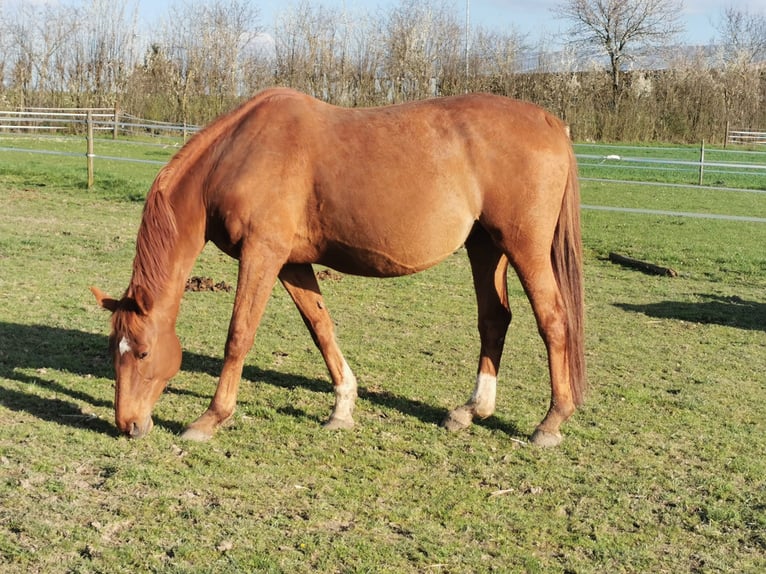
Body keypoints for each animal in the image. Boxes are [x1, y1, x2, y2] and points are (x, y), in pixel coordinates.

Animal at [94, 89, 588, 450]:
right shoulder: (292, 262)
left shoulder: (262, 253)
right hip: (486, 247)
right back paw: (470, 411)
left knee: (553, 321)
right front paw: (342, 408)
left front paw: (210, 418)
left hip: (524, 248)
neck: (236, 154)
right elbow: (321, 328)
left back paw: (550, 421)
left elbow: (239, 335)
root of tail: (549, 122)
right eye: (113, 350)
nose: (127, 424)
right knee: (494, 320)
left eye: (142, 353)